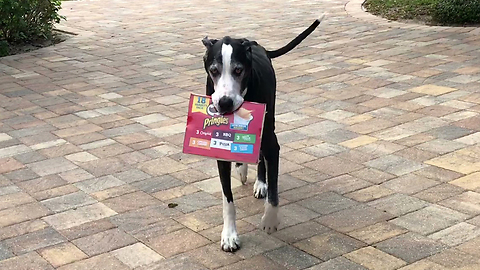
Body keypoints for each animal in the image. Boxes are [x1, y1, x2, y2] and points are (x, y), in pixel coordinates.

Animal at [201, 14, 324, 251]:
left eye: (238, 70)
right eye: (214, 70)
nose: (224, 103)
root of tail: (257, 45)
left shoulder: (271, 143)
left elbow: (274, 188)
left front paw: (270, 220)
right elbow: (227, 200)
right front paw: (229, 235)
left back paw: (260, 183)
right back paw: (242, 168)